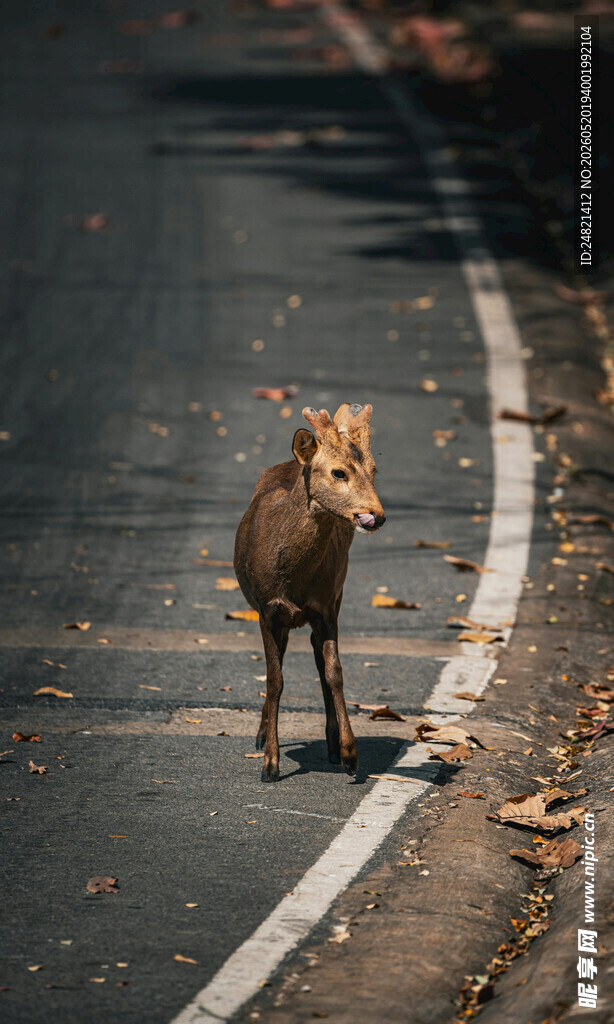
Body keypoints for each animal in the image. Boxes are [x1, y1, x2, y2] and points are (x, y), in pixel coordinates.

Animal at [234, 403, 386, 783]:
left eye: (374, 470)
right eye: (338, 472)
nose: (376, 515)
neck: (292, 580)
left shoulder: (326, 606)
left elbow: (334, 673)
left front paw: (350, 754)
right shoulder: (266, 609)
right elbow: (275, 679)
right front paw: (270, 764)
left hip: (337, 594)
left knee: (318, 661)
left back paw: (331, 745)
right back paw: (261, 735)